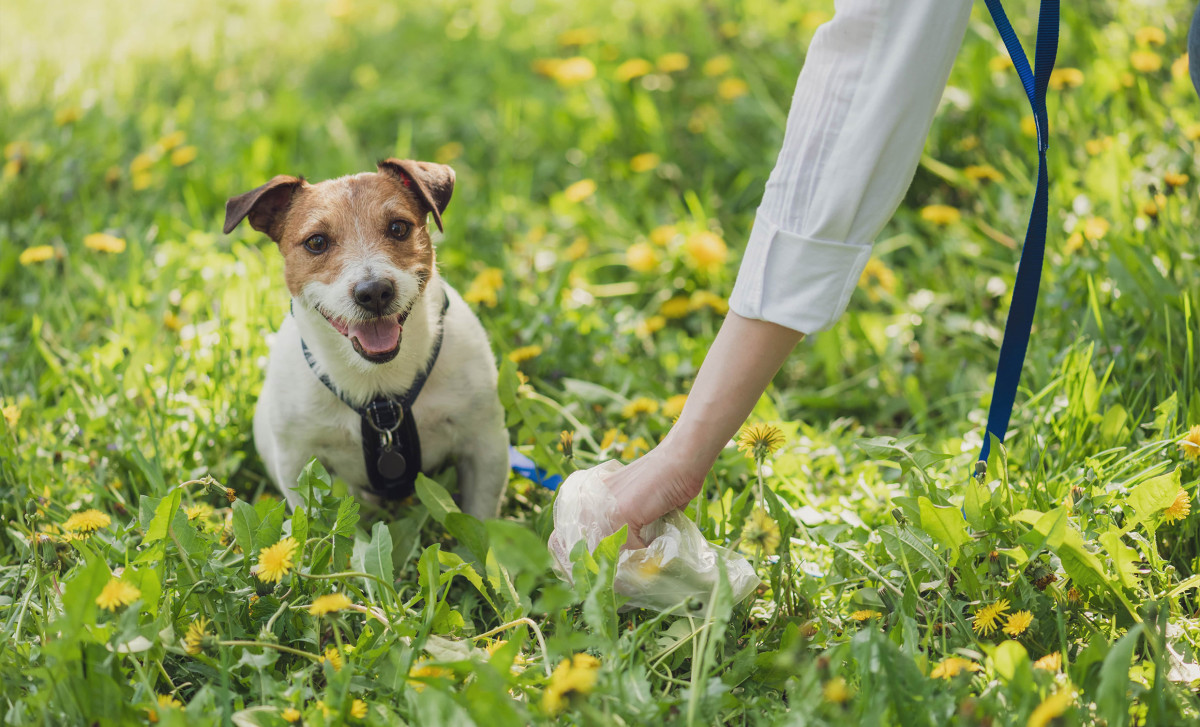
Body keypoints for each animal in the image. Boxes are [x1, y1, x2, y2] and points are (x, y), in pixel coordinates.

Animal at [224, 160, 506, 518]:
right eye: (316, 242)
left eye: (398, 228)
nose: (373, 293)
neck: (379, 387)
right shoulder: (297, 462)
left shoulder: (485, 445)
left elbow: (480, 518)